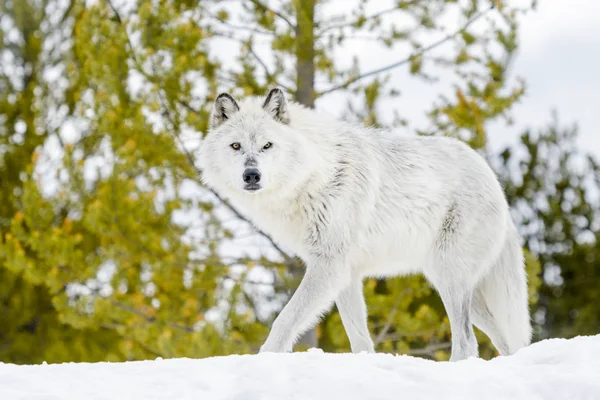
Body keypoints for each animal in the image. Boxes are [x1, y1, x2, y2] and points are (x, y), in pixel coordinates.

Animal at [199, 88, 532, 362]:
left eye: (267, 145)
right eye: (236, 146)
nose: (251, 175)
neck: (316, 174)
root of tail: (494, 182)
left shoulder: (329, 266)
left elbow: (284, 319)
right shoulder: (346, 274)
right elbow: (359, 337)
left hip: (450, 279)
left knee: (467, 343)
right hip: (460, 290)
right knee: (503, 339)